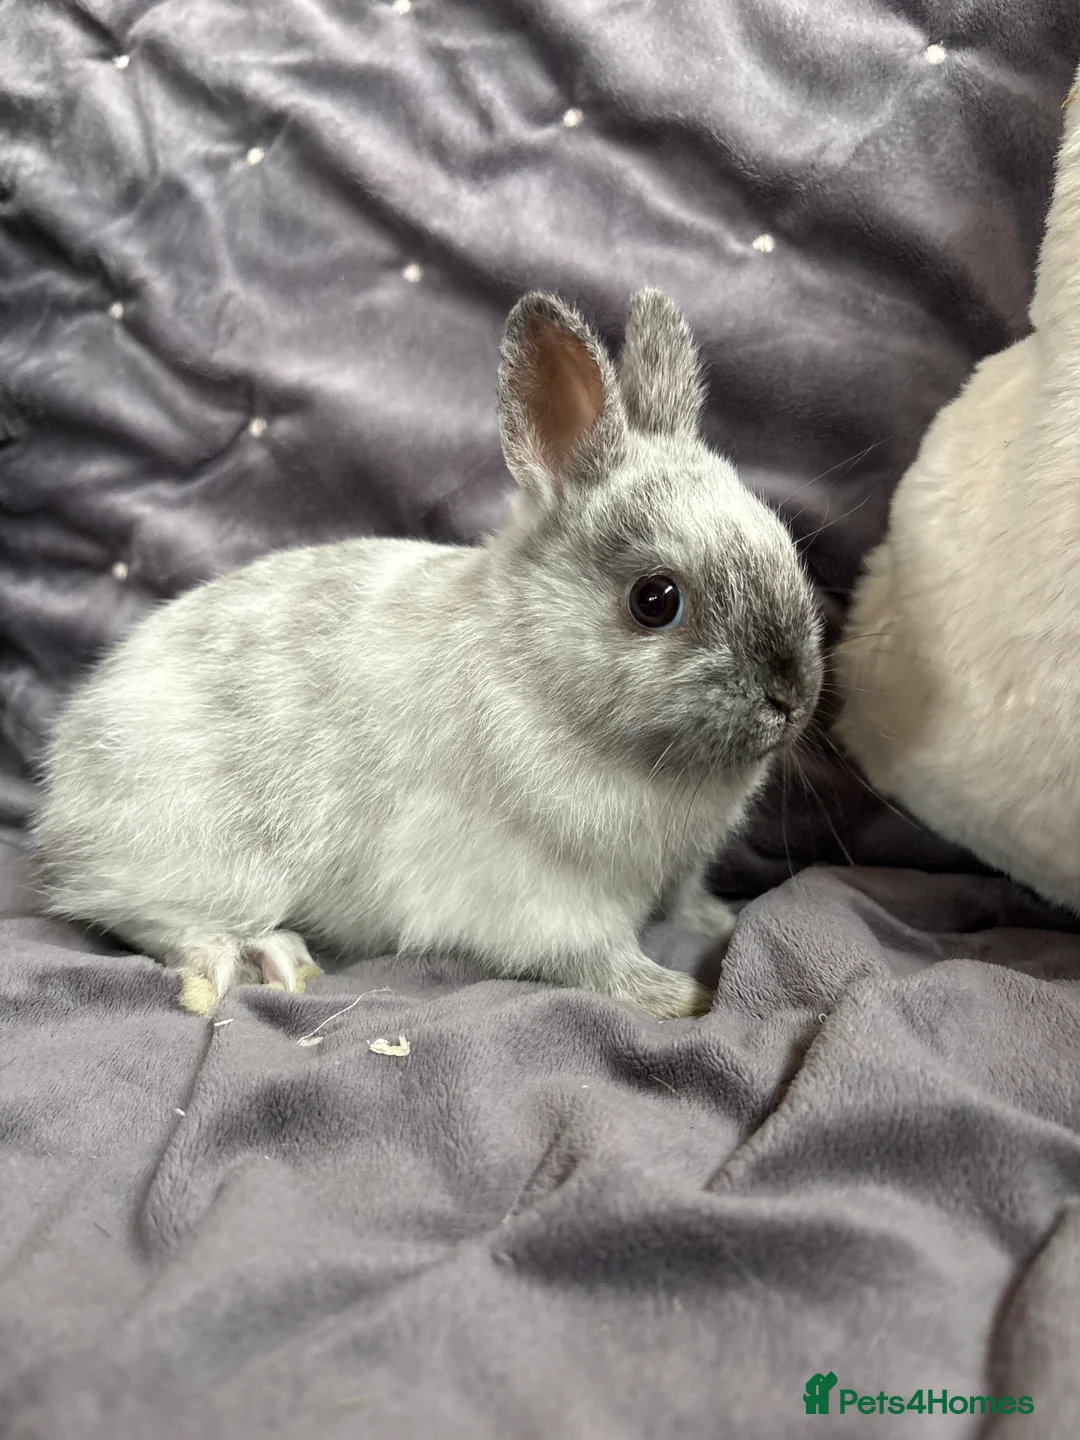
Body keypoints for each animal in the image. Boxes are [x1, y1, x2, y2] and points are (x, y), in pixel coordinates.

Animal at [31, 289, 823, 1019]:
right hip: (200, 859)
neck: (537, 672)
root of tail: (63, 793)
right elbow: (593, 959)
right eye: (655, 600)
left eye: (781, 541)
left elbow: (686, 901)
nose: (791, 697)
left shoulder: (676, 869)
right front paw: (677, 996)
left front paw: (720, 921)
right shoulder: (543, 896)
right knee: (143, 915)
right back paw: (261, 957)